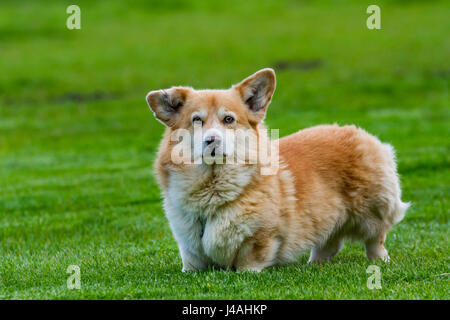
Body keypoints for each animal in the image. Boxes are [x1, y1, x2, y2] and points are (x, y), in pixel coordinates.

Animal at [146, 69, 410, 272]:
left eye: (228, 120)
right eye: (196, 120)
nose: (211, 140)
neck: (212, 191)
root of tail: (357, 131)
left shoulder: (260, 239)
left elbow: (249, 262)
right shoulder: (189, 248)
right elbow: (190, 264)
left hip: (374, 209)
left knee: (375, 239)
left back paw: (379, 260)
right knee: (329, 243)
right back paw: (315, 263)